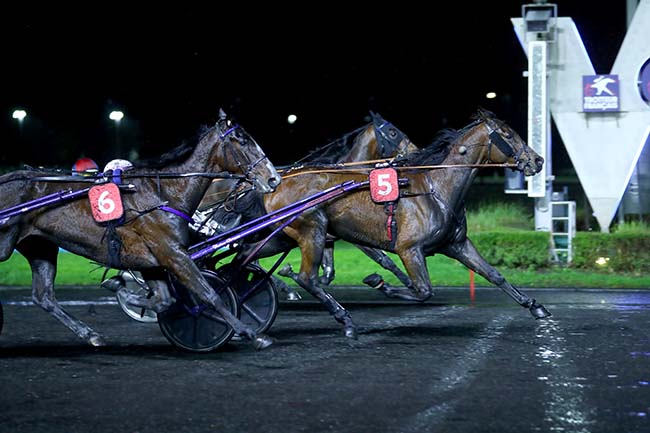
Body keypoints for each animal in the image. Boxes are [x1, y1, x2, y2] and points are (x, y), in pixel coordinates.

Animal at [0, 110, 278, 348]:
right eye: (241, 140)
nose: (273, 178)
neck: (163, 192)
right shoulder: (173, 253)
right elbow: (208, 293)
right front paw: (250, 333)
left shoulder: (152, 260)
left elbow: (165, 300)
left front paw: (122, 290)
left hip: (39, 246)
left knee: (44, 296)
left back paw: (90, 335)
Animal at [248, 107, 548, 338]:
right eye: (508, 135)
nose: (538, 160)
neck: (436, 188)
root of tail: (276, 183)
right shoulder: (409, 249)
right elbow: (422, 289)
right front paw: (382, 284)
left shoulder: (457, 244)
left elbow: (494, 274)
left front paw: (535, 306)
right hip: (312, 231)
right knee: (306, 278)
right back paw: (343, 319)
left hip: (282, 237)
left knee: (251, 258)